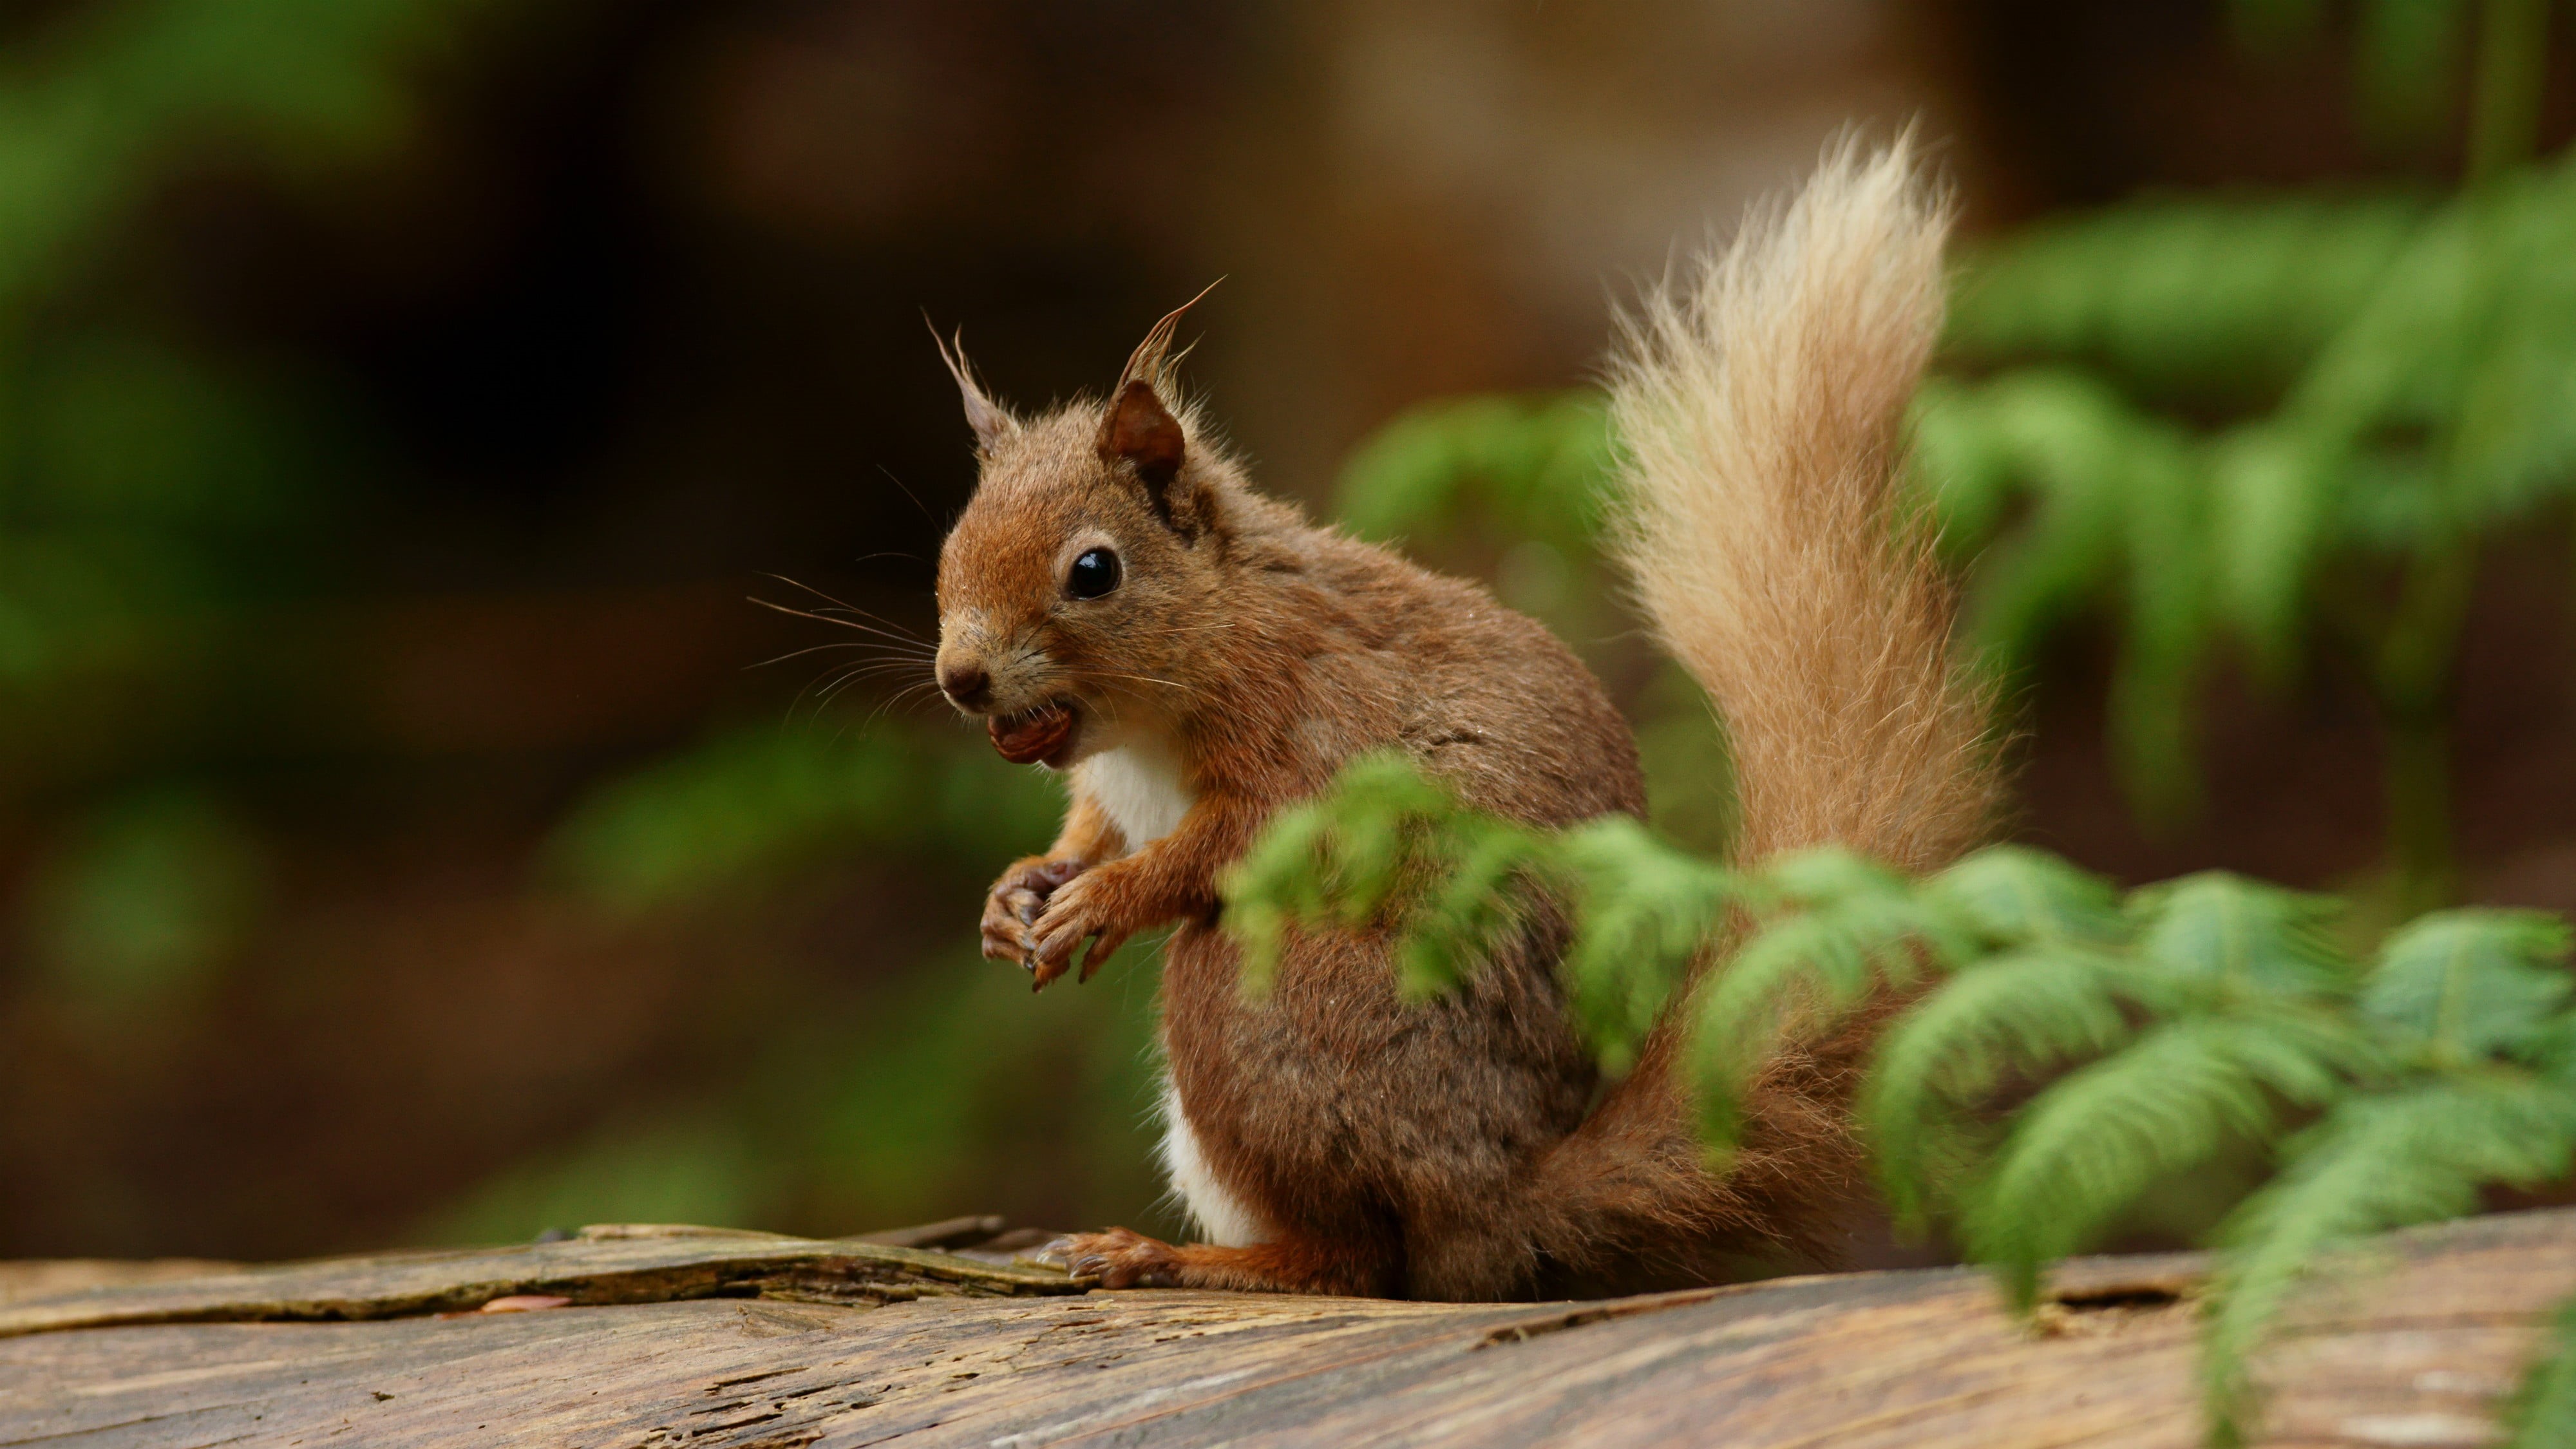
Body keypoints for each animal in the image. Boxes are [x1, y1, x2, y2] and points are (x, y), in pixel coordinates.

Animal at [928, 138, 1997, 1301]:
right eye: (951, 544)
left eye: (1094, 570)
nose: (960, 679)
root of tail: (1493, 1199)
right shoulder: (1111, 782)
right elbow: (1089, 828)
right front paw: (1017, 895)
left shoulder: (1307, 729)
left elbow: (1222, 841)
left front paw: (1105, 900)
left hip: (1261, 1008)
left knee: (1352, 1258)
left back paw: (1174, 1255)